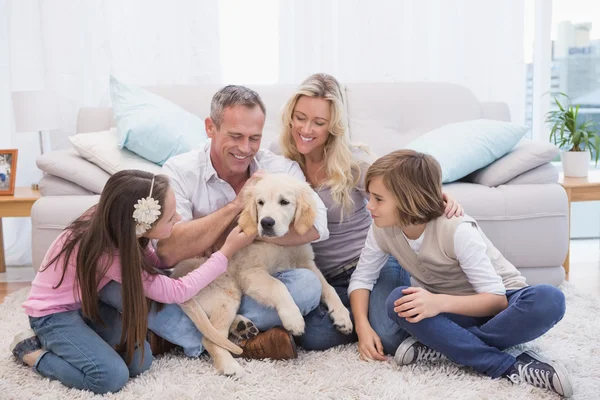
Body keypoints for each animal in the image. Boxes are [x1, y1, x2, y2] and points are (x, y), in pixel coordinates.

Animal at [170, 173, 352, 376]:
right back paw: (230, 366)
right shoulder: (250, 272)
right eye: (260, 202)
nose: (266, 223)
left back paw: (242, 327)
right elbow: (278, 285)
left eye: (284, 202)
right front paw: (294, 319)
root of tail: (176, 276)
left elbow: (328, 288)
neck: (280, 243)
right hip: (227, 289)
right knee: (210, 337)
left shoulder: (306, 263)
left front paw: (342, 316)